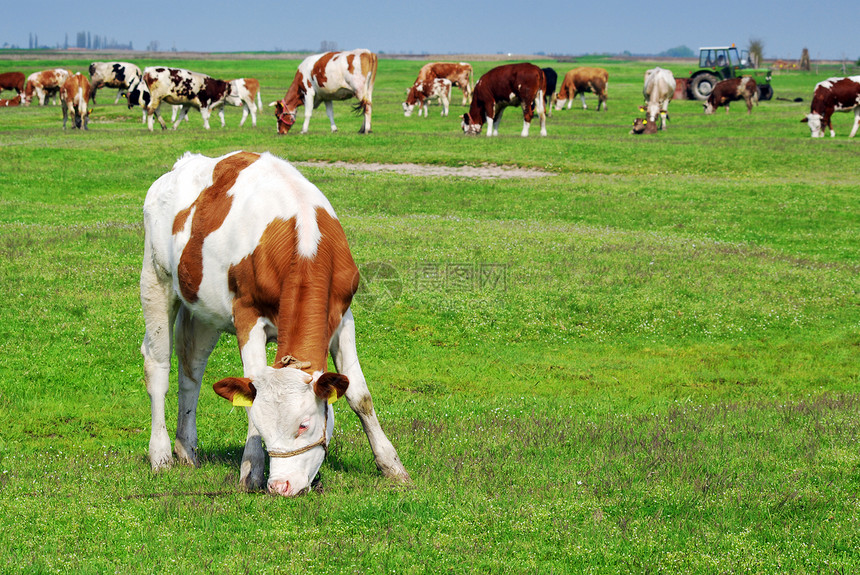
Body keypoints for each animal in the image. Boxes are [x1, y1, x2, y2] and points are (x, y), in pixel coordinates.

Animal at [141, 151, 410, 498]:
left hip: (203, 311)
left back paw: (186, 450)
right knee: (158, 368)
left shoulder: (342, 316)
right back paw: (160, 454)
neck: (304, 242)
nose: (280, 485)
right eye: (264, 428)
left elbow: (360, 395)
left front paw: (392, 466)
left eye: (304, 424)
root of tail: (184, 162)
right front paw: (251, 471)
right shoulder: (247, 315)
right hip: (155, 278)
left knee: (191, 372)